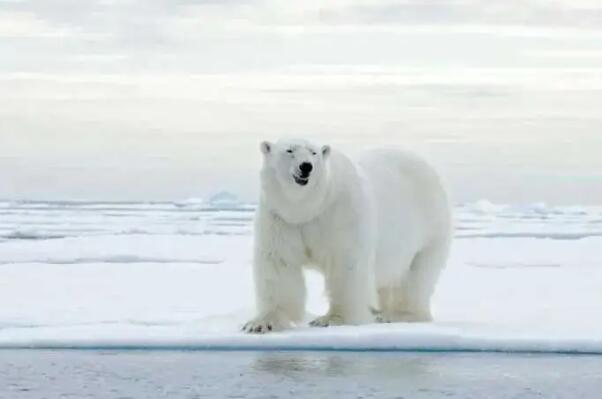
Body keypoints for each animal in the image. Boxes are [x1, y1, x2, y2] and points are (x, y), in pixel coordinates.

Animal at [241, 139, 448, 332]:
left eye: (314, 152)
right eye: (289, 150)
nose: (306, 166)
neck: (309, 208)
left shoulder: (341, 212)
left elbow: (346, 264)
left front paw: (332, 319)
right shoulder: (280, 219)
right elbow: (279, 262)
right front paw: (261, 323)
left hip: (429, 227)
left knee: (415, 276)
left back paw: (399, 314)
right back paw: (378, 311)